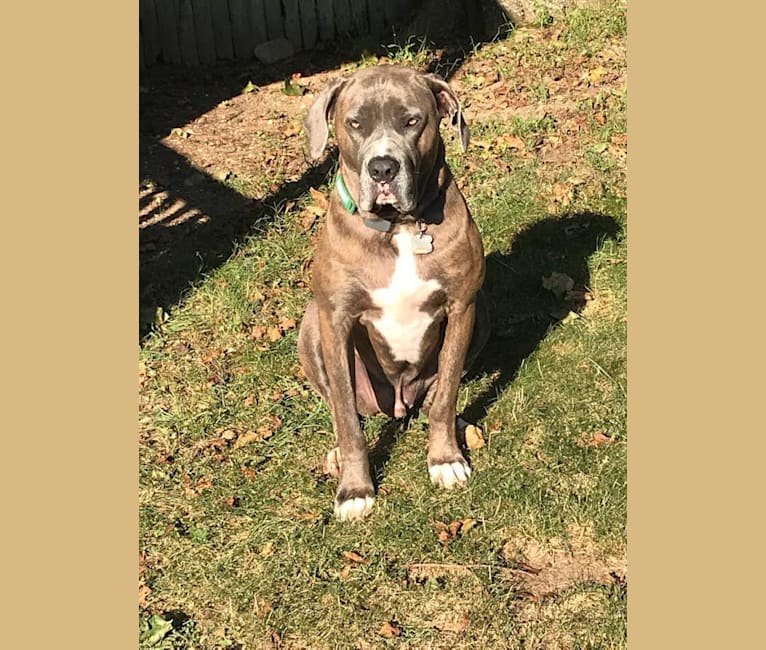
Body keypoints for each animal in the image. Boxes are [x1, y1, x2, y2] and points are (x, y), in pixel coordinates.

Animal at [296, 64, 488, 520]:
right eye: (355, 123)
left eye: (412, 121)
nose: (383, 168)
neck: (399, 227)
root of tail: (399, 403)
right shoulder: (336, 319)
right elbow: (347, 419)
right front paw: (355, 490)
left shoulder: (463, 304)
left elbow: (447, 393)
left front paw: (445, 459)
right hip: (311, 327)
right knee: (342, 406)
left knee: (438, 394)